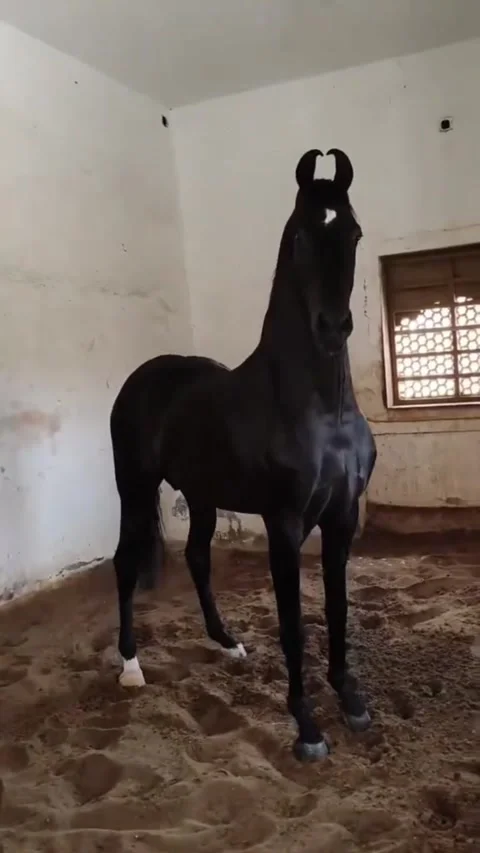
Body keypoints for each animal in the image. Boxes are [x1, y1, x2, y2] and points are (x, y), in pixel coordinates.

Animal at [110, 148, 377, 761]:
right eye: (300, 235)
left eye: (352, 233)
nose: (333, 327)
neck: (320, 411)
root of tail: (142, 378)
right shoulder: (285, 524)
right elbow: (293, 624)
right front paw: (306, 727)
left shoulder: (342, 519)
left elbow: (338, 611)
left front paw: (350, 700)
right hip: (134, 491)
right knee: (124, 563)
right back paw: (131, 665)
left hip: (203, 495)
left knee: (197, 559)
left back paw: (227, 643)